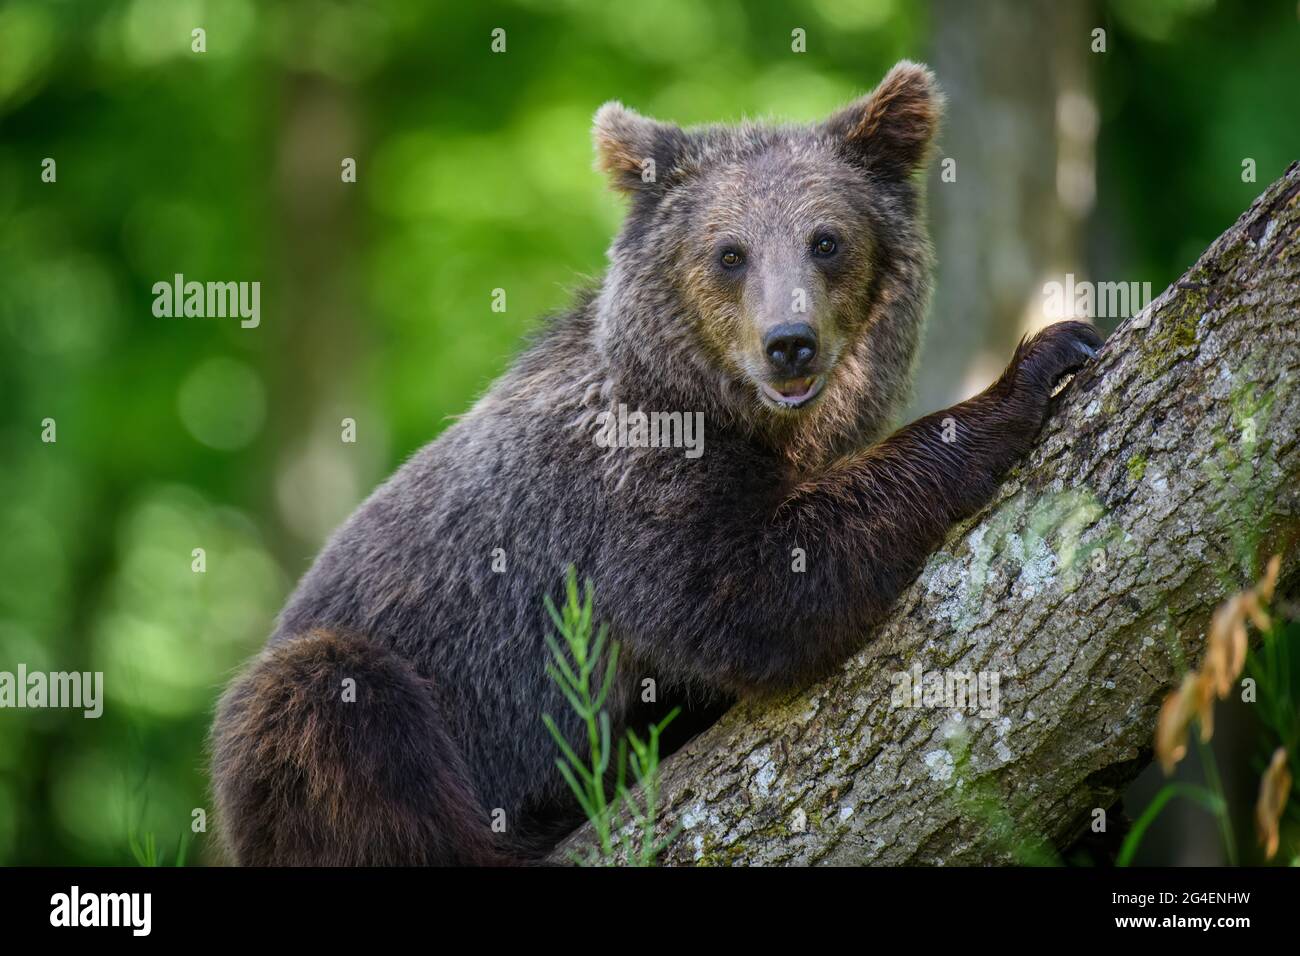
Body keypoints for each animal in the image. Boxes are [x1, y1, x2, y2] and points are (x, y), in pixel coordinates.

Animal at [210, 61, 1097, 868]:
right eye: (730, 253)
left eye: (827, 240)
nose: (790, 343)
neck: (743, 418)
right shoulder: (625, 486)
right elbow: (742, 591)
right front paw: (1034, 366)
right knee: (325, 702)